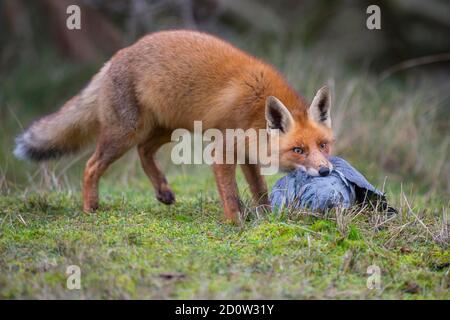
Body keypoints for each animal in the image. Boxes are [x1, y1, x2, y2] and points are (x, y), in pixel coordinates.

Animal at [14, 31, 334, 222]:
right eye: (298, 150)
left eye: (323, 145)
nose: (325, 171)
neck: (256, 107)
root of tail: (116, 57)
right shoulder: (222, 150)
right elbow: (231, 193)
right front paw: (235, 222)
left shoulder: (246, 153)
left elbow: (259, 189)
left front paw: (265, 216)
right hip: (125, 133)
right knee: (92, 166)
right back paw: (90, 208)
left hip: (166, 128)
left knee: (144, 151)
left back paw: (163, 190)